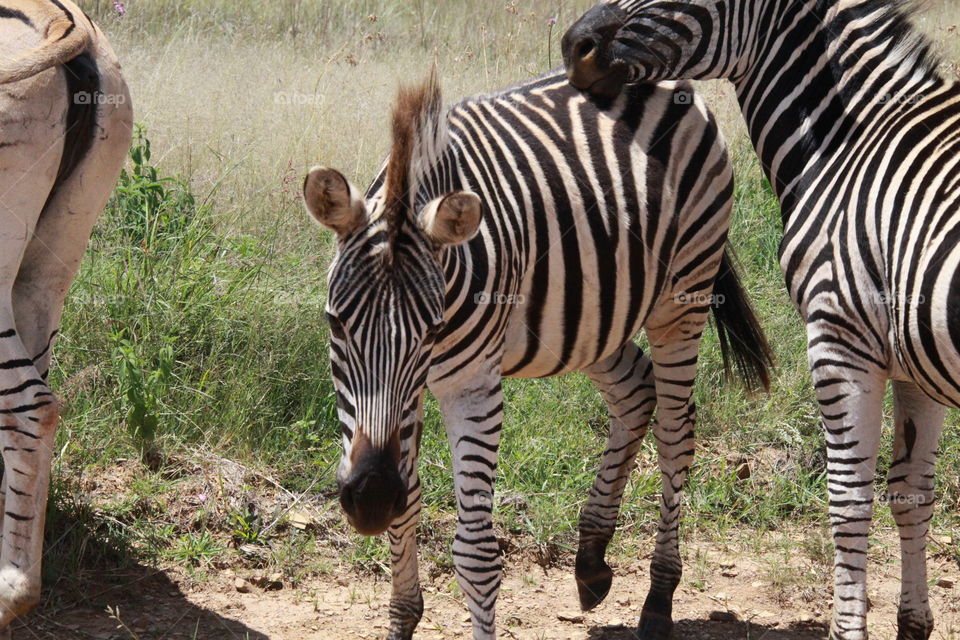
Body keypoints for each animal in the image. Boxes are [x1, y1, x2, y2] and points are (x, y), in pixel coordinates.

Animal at [303, 68, 772, 640]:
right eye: (335, 323)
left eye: (430, 330)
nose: (369, 498)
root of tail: (668, 78)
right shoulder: (402, 402)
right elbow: (406, 505)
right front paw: (402, 618)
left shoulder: (471, 386)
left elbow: (476, 556)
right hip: (593, 316)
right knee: (636, 393)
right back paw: (591, 560)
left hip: (684, 291)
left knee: (675, 432)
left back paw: (658, 599)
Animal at [563, 1, 960, 639]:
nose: (573, 47)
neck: (850, 139)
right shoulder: (913, 363)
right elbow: (910, 494)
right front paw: (912, 623)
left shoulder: (839, 339)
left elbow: (850, 499)